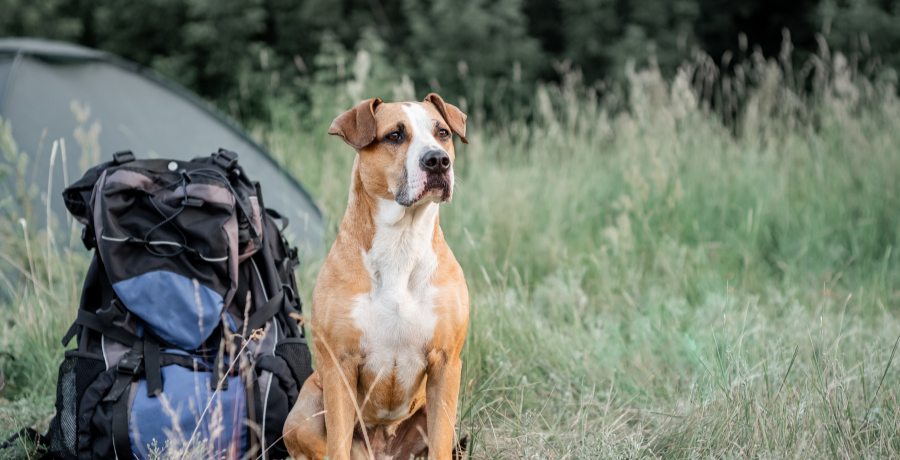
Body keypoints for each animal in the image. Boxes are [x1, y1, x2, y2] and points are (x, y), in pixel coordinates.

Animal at [284, 94, 472, 460]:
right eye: (394, 136)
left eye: (442, 133)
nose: (437, 161)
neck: (401, 243)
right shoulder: (339, 365)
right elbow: (338, 445)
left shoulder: (446, 365)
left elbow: (441, 443)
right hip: (304, 410)